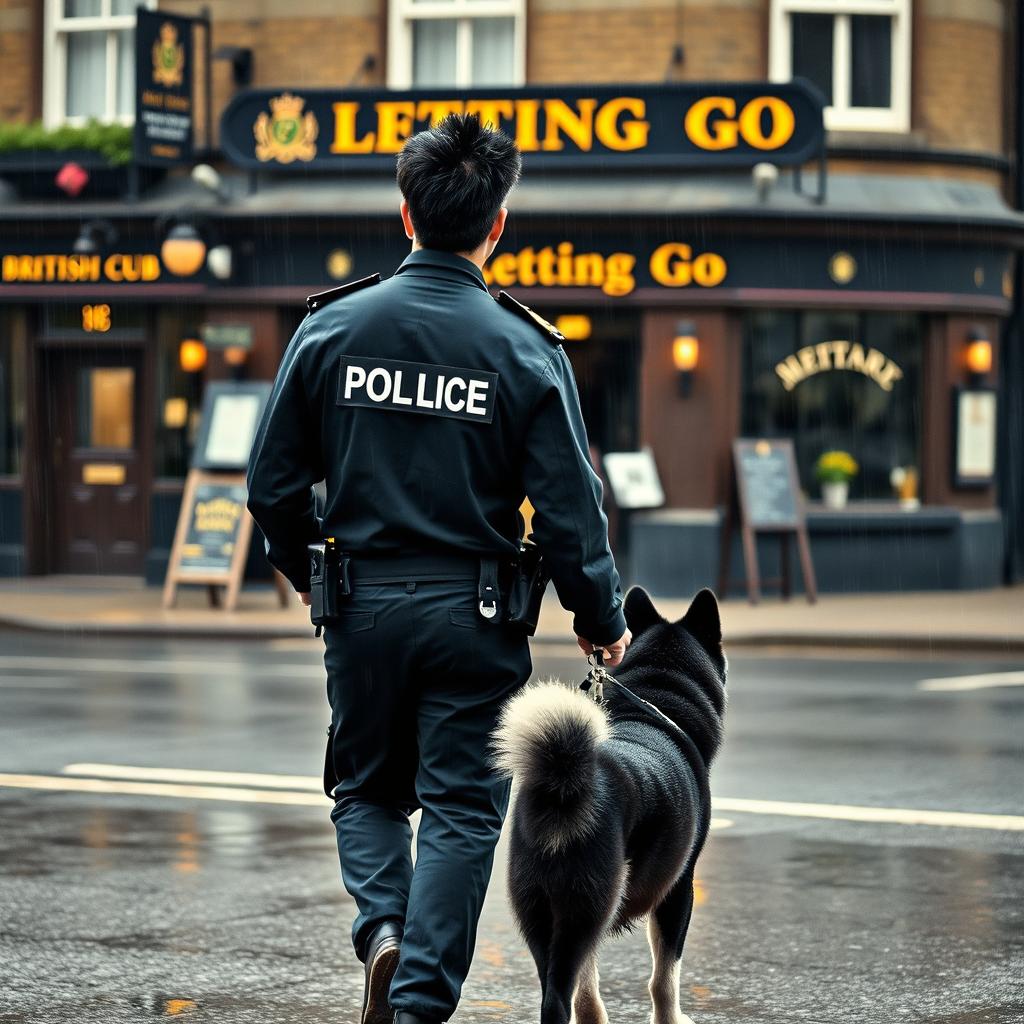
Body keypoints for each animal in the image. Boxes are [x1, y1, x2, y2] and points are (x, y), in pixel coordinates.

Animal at [491, 589, 724, 1024]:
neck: (651, 704)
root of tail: (564, 779)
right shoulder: (678, 888)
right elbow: (665, 977)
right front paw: (670, 1018)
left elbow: (589, 987)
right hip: (584, 908)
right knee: (556, 999)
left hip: (542, 912)